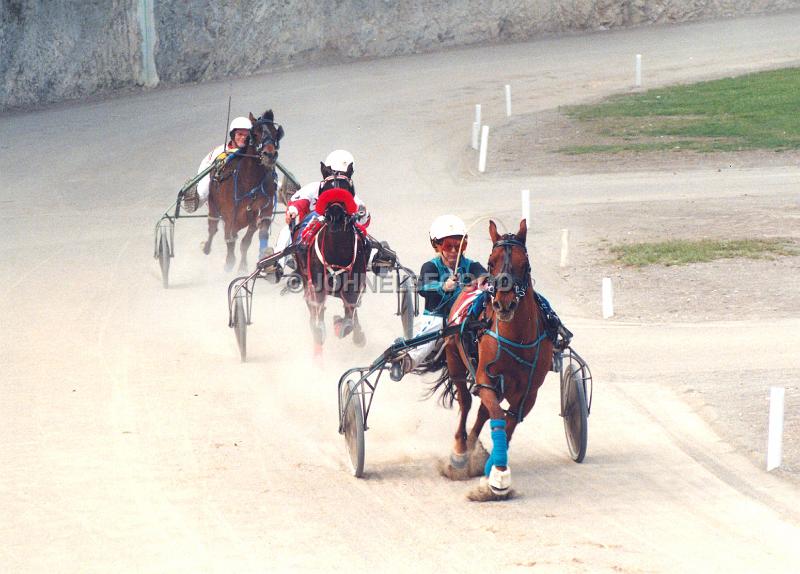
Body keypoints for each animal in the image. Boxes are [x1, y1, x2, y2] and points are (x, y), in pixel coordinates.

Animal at [205, 112, 286, 274]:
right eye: (254, 134)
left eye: (276, 133)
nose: (270, 155)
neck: (250, 181)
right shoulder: (230, 212)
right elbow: (229, 237)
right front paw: (229, 262)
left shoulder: (263, 208)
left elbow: (251, 238)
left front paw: (245, 266)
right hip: (213, 205)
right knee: (213, 227)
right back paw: (207, 247)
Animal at [294, 171, 368, 356]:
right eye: (326, 188)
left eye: (347, 188)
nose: (336, 215)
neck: (337, 252)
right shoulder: (316, 281)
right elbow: (318, 304)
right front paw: (319, 330)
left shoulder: (354, 283)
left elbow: (350, 310)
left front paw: (348, 329)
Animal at [432, 220, 556, 504]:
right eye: (491, 262)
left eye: (525, 263)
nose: (504, 303)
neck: (515, 337)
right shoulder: (486, 380)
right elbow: (498, 417)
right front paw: (498, 475)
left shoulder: (528, 393)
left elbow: (508, 424)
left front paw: (492, 474)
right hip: (455, 360)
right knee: (466, 402)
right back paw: (460, 451)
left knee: (481, 412)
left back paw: (472, 447)